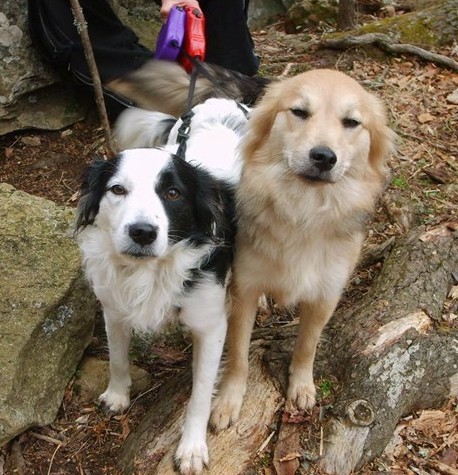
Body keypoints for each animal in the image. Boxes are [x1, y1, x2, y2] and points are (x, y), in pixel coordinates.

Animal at [76, 98, 247, 474]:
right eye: (117, 189)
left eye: (173, 193)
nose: (142, 232)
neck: (151, 270)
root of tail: (225, 100)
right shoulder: (114, 307)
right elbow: (117, 358)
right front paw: (117, 395)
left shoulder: (211, 325)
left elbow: (200, 394)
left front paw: (192, 447)